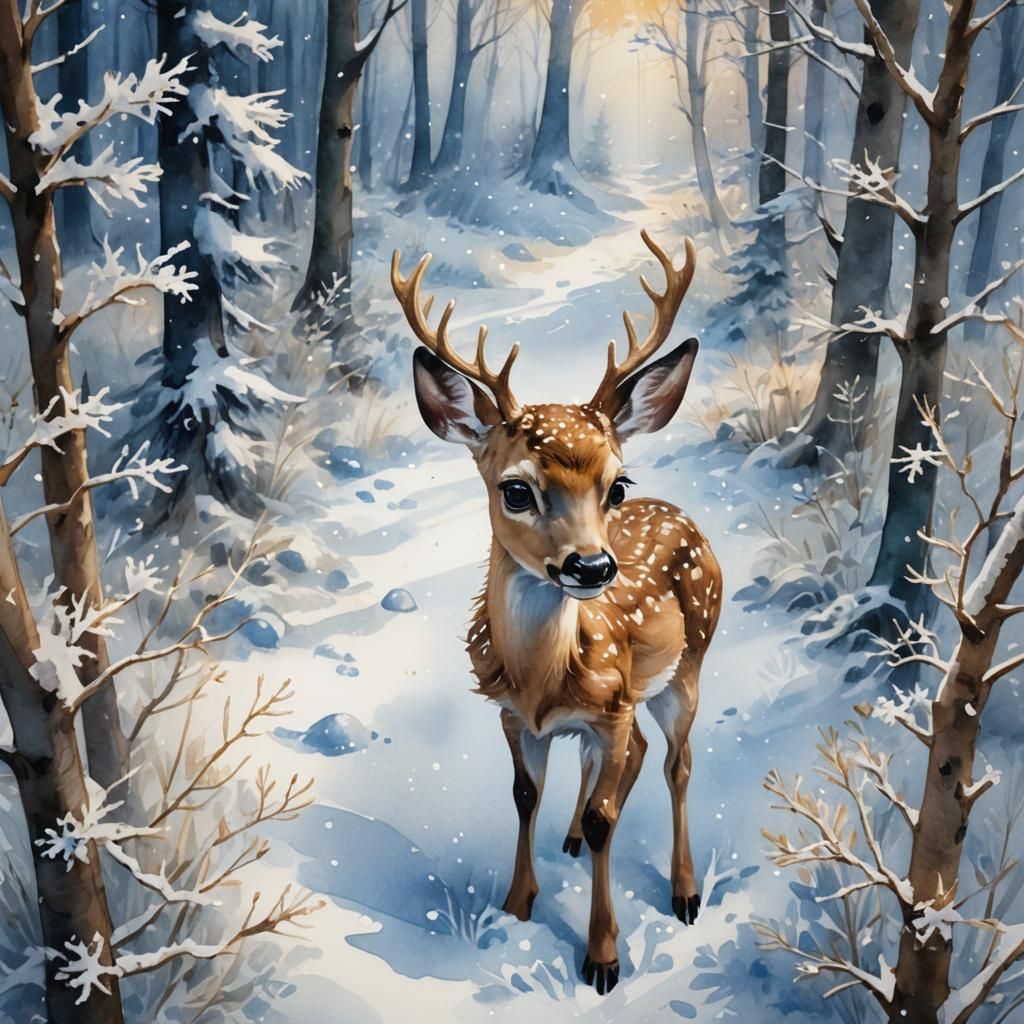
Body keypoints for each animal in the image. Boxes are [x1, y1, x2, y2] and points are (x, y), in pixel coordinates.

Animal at [391, 231, 722, 995]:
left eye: (616, 485)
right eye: (515, 489)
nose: (593, 567)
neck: (545, 679)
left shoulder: (614, 706)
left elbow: (608, 818)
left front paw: (602, 958)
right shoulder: (515, 717)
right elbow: (524, 795)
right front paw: (517, 908)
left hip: (689, 665)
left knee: (677, 763)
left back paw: (685, 891)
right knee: (631, 763)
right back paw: (571, 839)